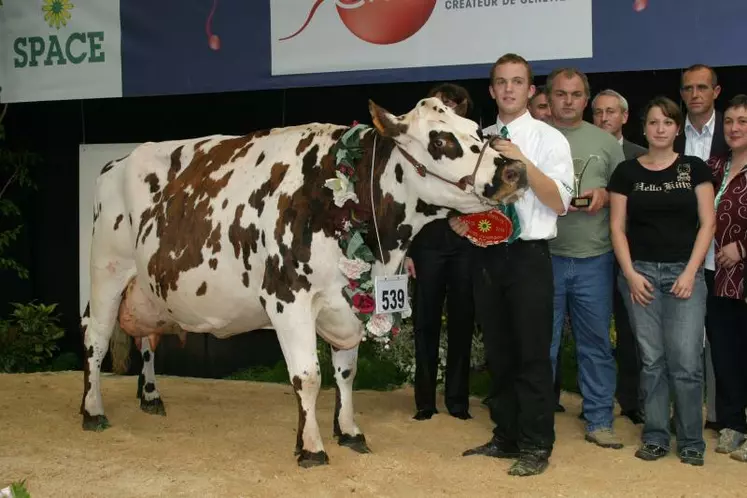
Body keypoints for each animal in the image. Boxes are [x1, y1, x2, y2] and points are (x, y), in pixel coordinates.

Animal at [80, 98, 524, 466]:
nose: (514, 170)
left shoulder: (348, 304)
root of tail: (115, 162)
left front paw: (349, 432)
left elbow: (346, 373)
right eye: (442, 139)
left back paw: (151, 397)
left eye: (476, 129)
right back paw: (92, 410)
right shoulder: (287, 298)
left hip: (147, 290)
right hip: (107, 271)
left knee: (146, 339)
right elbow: (308, 376)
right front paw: (310, 447)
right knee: (95, 340)